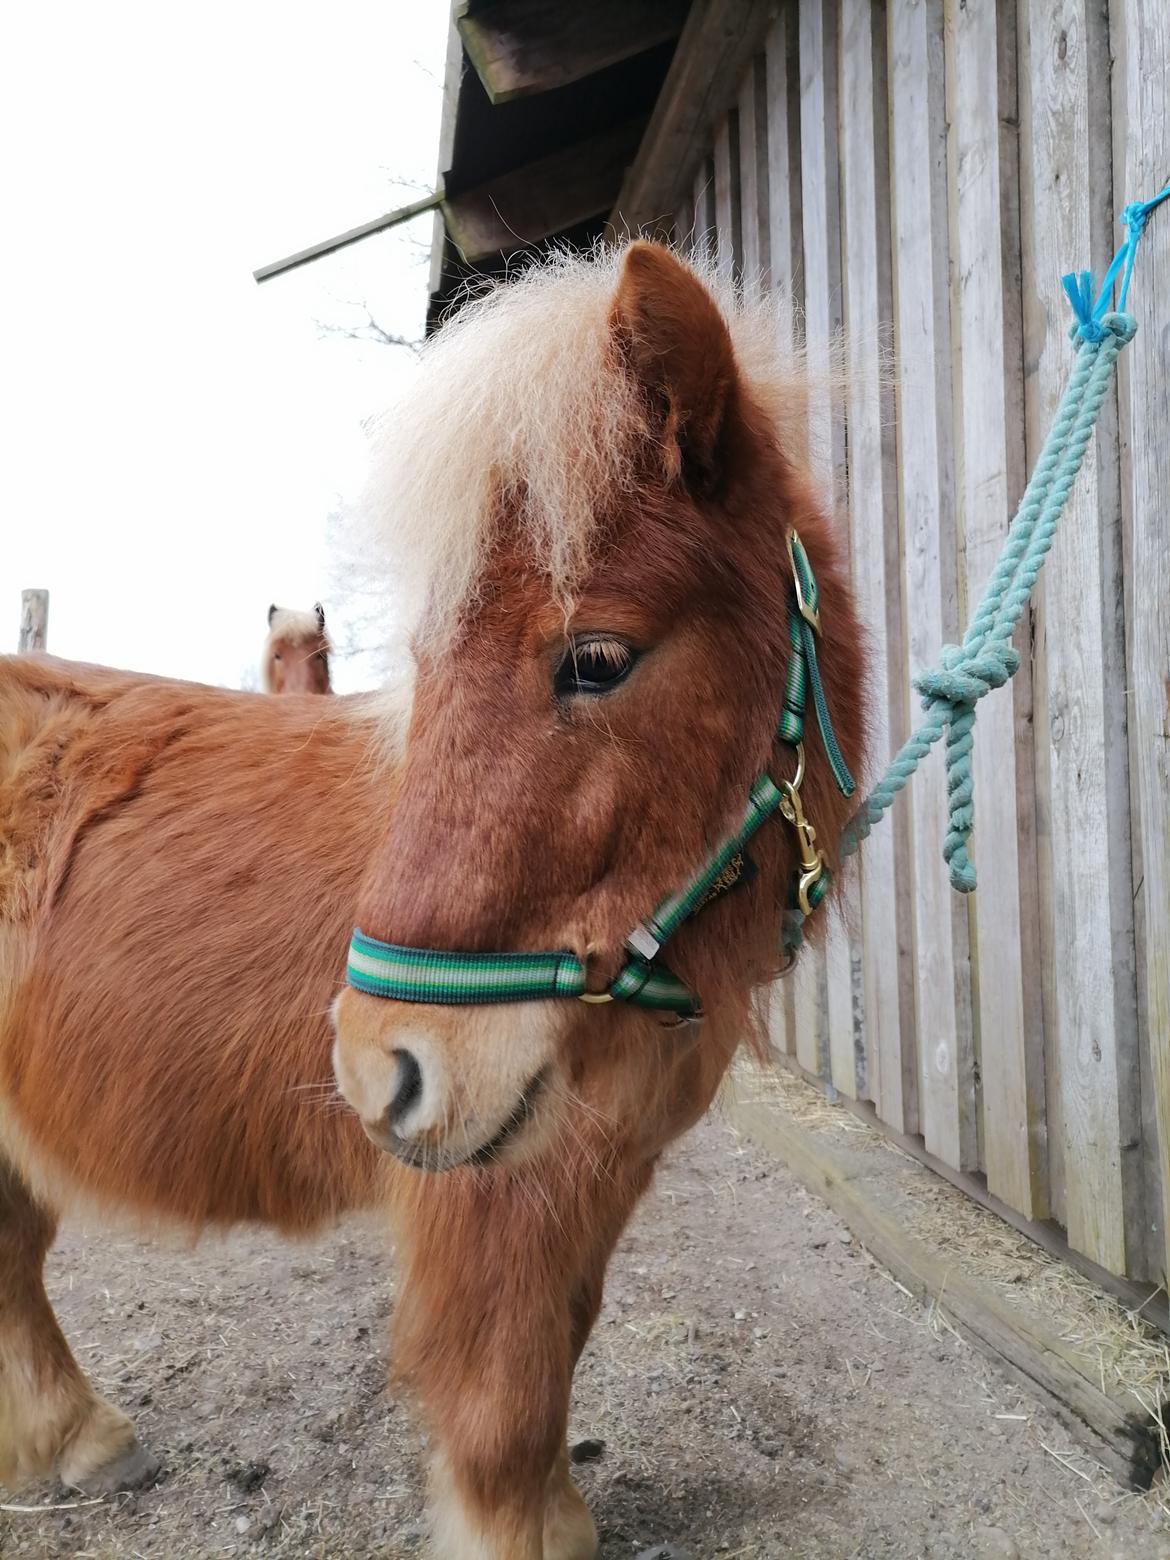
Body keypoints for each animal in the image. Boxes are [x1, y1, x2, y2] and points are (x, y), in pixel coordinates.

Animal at [0, 246, 873, 1560]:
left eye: (597, 659)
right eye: (424, 668)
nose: (379, 1071)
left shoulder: (592, 1173)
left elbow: (559, 1343)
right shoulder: (498, 1200)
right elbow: (506, 1393)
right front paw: (523, 1532)